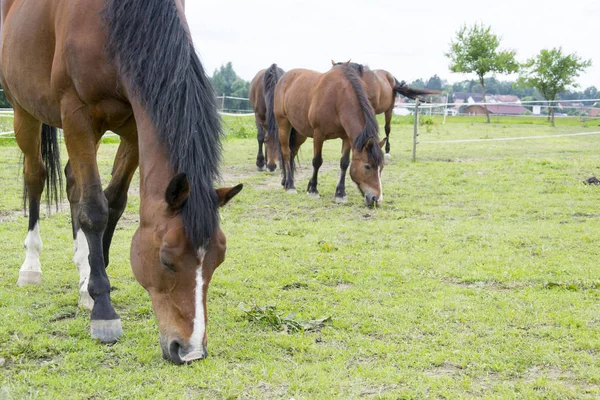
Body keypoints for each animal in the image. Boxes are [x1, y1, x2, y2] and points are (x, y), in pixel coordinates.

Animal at [2, 0, 243, 364]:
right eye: (166, 259)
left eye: (220, 258)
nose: (190, 351)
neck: (115, 21)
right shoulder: (76, 114)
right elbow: (94, 210)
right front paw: (103, 310)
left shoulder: (134, 124)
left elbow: (113, 201)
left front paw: (93, 278)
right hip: (24, 112)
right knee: (36, 177)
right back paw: (31, 267)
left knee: (73, 182)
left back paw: (82, 269)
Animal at [270, 63, 386, 206]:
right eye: (367, 166)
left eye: (381, 167)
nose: (376, 199)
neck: (337, 99)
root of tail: (283, 78)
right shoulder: (318, 135)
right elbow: (317, 161)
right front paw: (313, 190)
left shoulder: (347, 138)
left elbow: (344, 163)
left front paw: (340, 194)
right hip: (283, 124)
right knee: (286, 153)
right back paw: (291, 185)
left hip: (300, 132)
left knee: (292, 152)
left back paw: (286, 182)